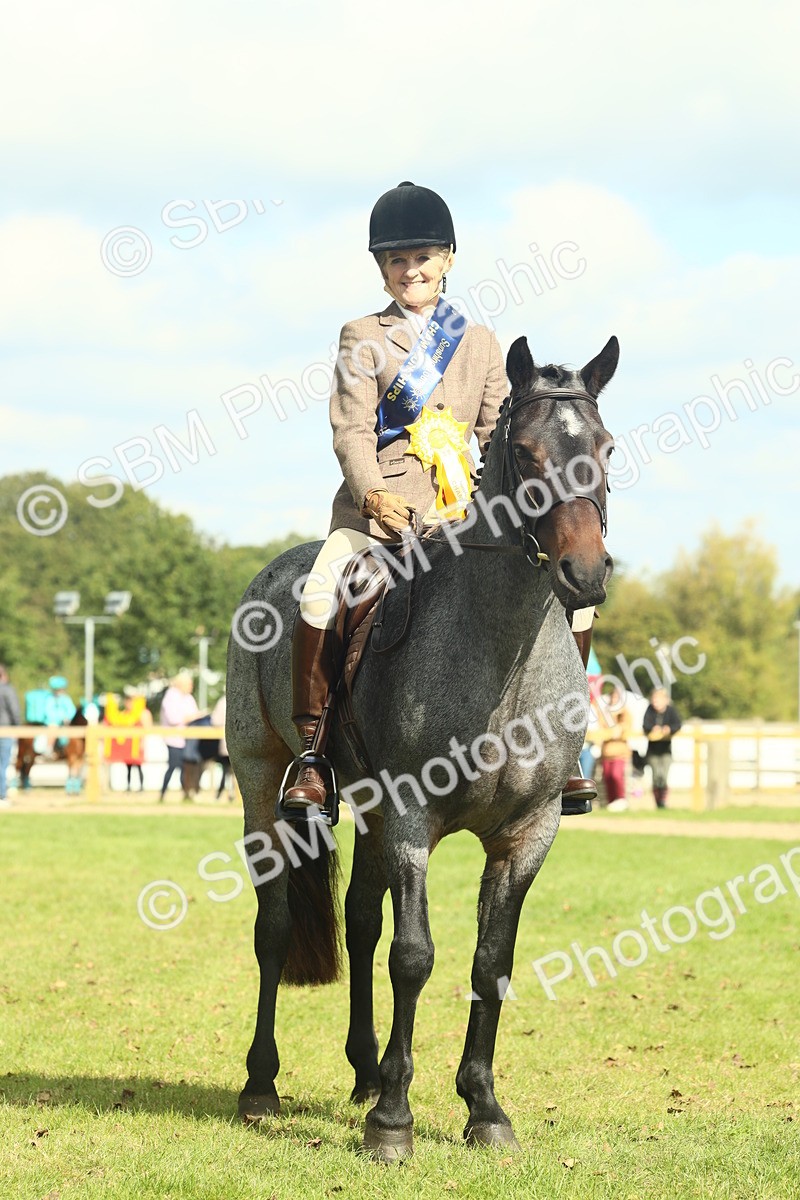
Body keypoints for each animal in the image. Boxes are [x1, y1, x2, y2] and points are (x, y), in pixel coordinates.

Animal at [225, 334, 618, 1161]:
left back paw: (364, 1070)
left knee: (360, 922)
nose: (586, 573)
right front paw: (393, 1122)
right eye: (526, 453)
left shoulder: (528, 833)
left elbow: (490, 962)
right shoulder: (410, 818)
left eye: (605, 448)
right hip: (262, 783)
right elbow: (415, 956)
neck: (502, 659)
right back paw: (262, 1085)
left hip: (367, 810)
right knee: (274, 928)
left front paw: (484, 1109)